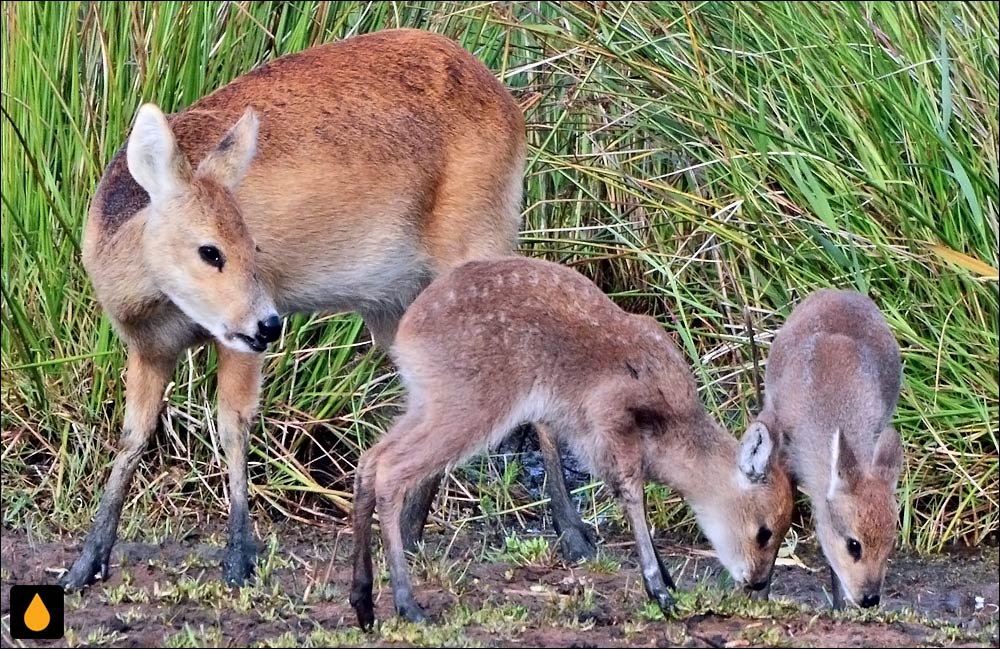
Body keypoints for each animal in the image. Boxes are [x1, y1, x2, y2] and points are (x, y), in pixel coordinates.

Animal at [64, 27, 592, 588]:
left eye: (254, 246)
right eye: (210, 250)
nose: (269, 324)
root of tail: (507, 100)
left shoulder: (236, 345)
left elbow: (231, 426)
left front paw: (239, 558)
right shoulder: (149, 350)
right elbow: (132, 437)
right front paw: (86, 562)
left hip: (479, 246)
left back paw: (574, 535)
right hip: (395, 307)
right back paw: (412, 531)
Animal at [348, 256, 792, 628]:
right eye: (764, 532)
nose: (757, 583)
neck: (673, 421)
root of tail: (408, 330)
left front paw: (665, 582)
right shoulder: (611, 422)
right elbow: (631, 494)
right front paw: (660, 591)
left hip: (425, 406)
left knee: (370, 460)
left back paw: (364, 603)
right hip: (467, 413)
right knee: (391, 472)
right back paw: (407, 606)